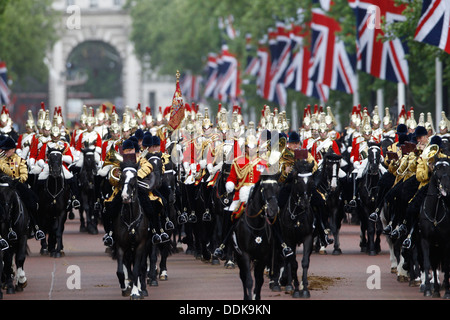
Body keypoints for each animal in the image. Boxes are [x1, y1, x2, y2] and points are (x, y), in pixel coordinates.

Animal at [113, 162, 149, 300]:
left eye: (134, 178)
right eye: (122, 177)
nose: (125, 197)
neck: (131, 219)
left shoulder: (140, 245)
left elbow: (137, 269)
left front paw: (135, 292)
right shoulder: (120, 245)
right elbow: (120, 271)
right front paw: (125, 288)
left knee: (140, 267)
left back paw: (141, 289)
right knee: (129, 265)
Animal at [232, 172, 278, 300]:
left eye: (277, 187)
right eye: (264, 188)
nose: (273, 209)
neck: (255, 225)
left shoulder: (263, 257)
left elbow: (259, 280)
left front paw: (256, 297)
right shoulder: (245, 255)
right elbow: (248, 280)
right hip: (239, 256)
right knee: (243, 276)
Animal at [278, 159, 316, 298]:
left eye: (311, 181)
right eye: (298, 181)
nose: (305, 203)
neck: (297, 214)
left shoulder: (308, 237)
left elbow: (305, 262)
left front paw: (305, 289)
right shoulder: (290, 239)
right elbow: (293, 263)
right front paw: (295, 290)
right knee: (288, 259)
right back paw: (289, 284)